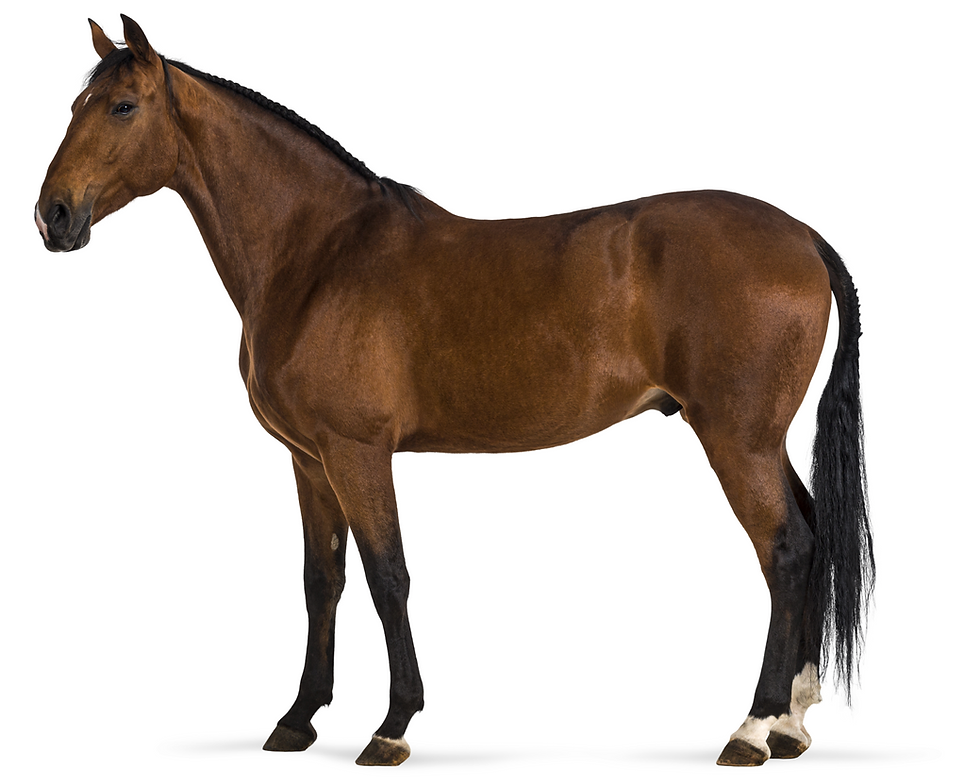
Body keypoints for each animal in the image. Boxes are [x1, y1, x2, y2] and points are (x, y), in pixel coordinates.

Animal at [35, 16, 873, 767]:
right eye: (77, 105)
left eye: (122, 106)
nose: (53, 215)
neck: (318, 255)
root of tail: (802, 236)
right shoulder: (307, 460)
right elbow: (322, 580)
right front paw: (299, 718)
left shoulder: (357, 452)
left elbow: (388, 577)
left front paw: (392, 726)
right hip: (761, 439)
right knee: (808, 538)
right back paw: (792, 723)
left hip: (736, 439)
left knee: (786, 550)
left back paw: (753, 728)